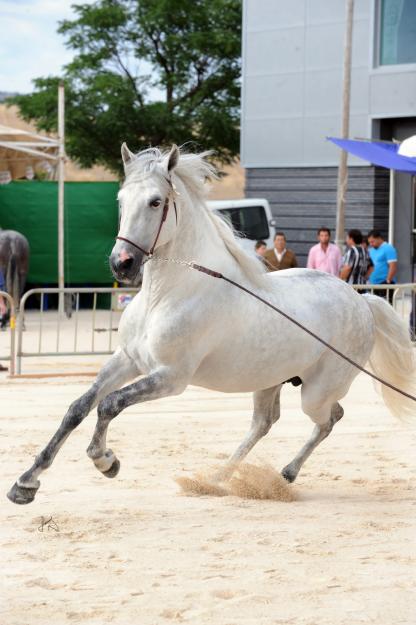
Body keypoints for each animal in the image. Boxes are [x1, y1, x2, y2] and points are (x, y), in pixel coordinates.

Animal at [7, 144, 416, 504]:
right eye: (122, 200)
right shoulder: (128, 359)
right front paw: (26, 483)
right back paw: (218, 478)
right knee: (264, 423)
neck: (164, 296)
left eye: (156, 202)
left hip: (316, 391)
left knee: (330, 418)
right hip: (268, 379)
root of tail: (361, 301)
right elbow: (78, 408)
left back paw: (284, 472)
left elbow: (109, 404)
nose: (121, 264)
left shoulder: (171, 377)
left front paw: (105, 461)